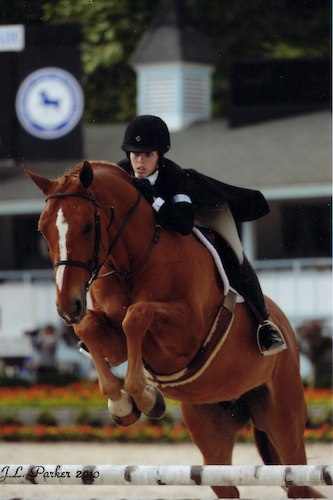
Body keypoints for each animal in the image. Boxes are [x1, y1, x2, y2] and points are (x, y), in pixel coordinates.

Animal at [25, 162, 322, 498]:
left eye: (88, 226)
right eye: (42, 229)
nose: (67, 306)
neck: (133, 261)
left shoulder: (185, 335)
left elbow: (136, 316)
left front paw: (145, 397)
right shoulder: (114, 341)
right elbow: (91, 327)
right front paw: (122, 405)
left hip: (284, 421)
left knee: (297, 477)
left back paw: (270, 336)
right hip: (211, 428)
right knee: (226, 483)